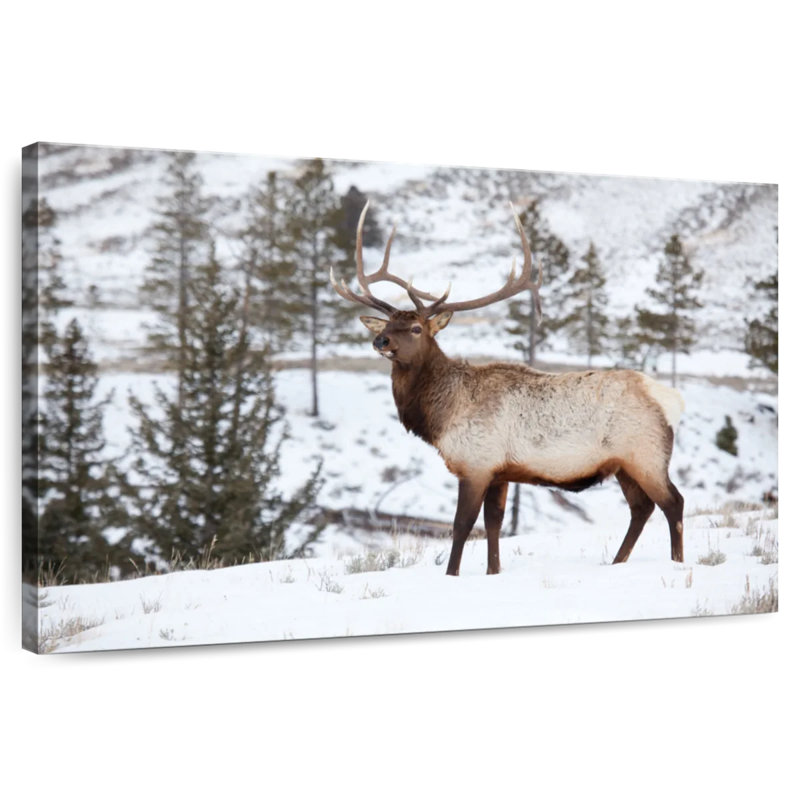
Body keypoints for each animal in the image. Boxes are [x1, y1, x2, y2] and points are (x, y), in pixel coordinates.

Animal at [330, 202, 685, 576]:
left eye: (415, 328)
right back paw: (617, 562)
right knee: (641, 508)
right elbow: (494, 524)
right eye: (387, 324)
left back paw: (676, 561)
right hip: (625, 465)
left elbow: (461, 526)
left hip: (646, 454)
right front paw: (493, 571)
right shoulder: (499, 472)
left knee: (673, 503)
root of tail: (673, 400)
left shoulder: (476, 463)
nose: (380, 340)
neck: (441, 416)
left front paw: (452, 574)